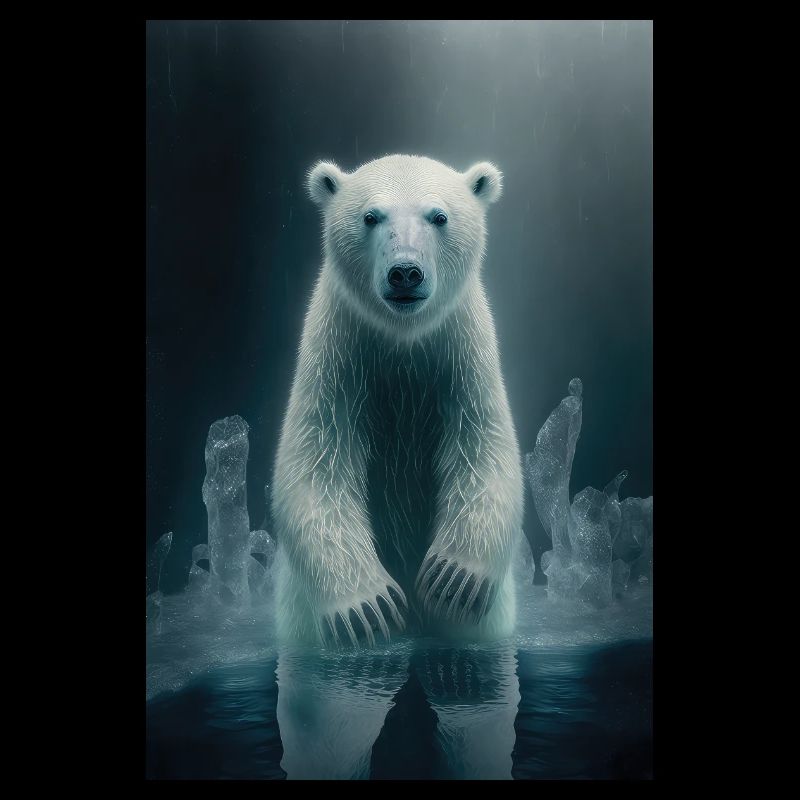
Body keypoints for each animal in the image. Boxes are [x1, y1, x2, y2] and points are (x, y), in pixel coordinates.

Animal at [271, 154, 524, 646]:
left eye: (439, 216)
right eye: (371, 216)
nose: (405, 272)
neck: (402, 339)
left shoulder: (463, 353)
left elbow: (485, 449)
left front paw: (452, 579)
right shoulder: (337, 353)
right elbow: (314, 465)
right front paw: (368, 608)